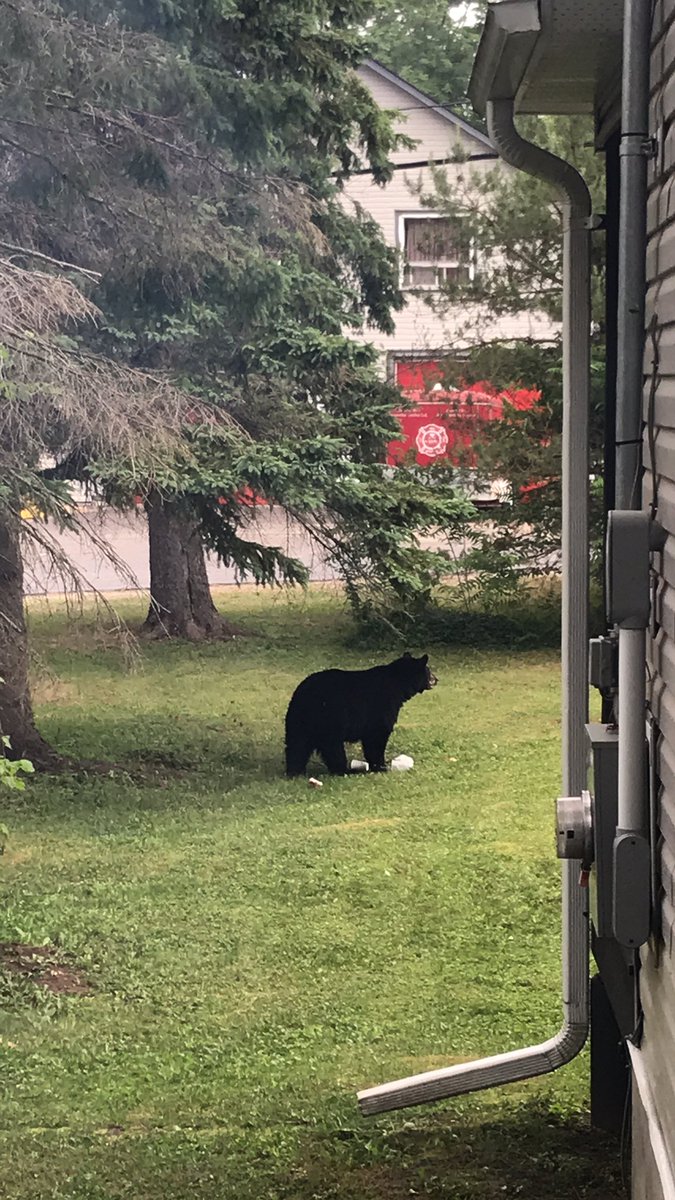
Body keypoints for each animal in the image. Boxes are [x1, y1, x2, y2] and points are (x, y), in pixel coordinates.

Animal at [284, 652, 437, 776]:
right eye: (428, 671)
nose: (436, 679)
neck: (398, 685)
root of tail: (303, 694)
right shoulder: (381, 707)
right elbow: (377, 737)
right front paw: (381, 766)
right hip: (329, 719)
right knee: (332, 748)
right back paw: (346, 770)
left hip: (298, 720)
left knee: (297, 745)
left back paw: (295, 771)